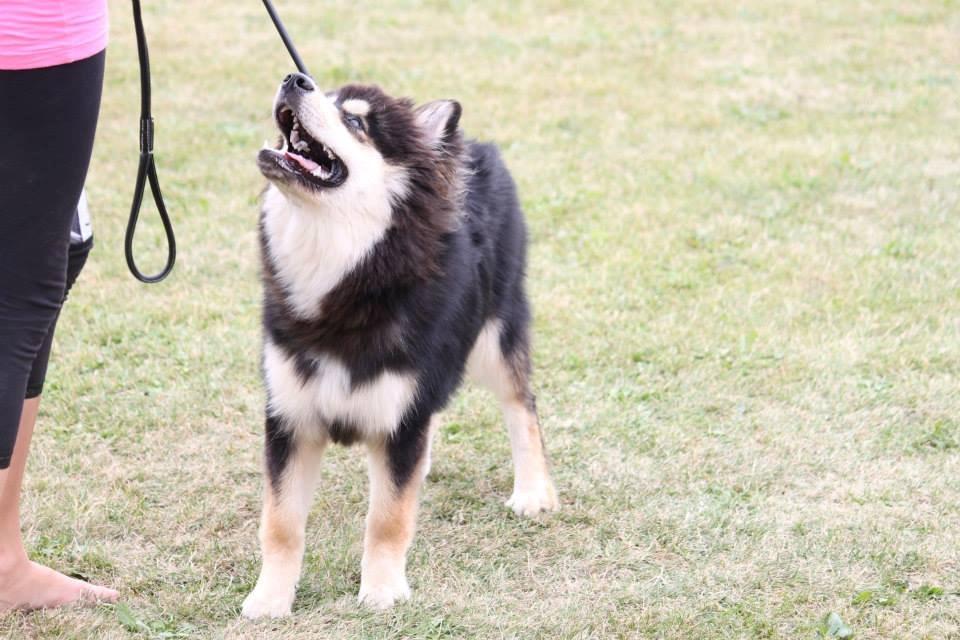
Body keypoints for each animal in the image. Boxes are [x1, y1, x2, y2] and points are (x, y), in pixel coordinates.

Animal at [240, 72, 560, 616]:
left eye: (355, 121)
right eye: (325, 94)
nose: (294, 78)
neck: (350, 275)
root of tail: (475, 146)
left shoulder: (399, 420)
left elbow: (388, 518)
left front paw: (382, 592)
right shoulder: (291, 417)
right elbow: (280, 523)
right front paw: (270, 599)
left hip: (497, 334)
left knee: (522, 406)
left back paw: (534, 490)